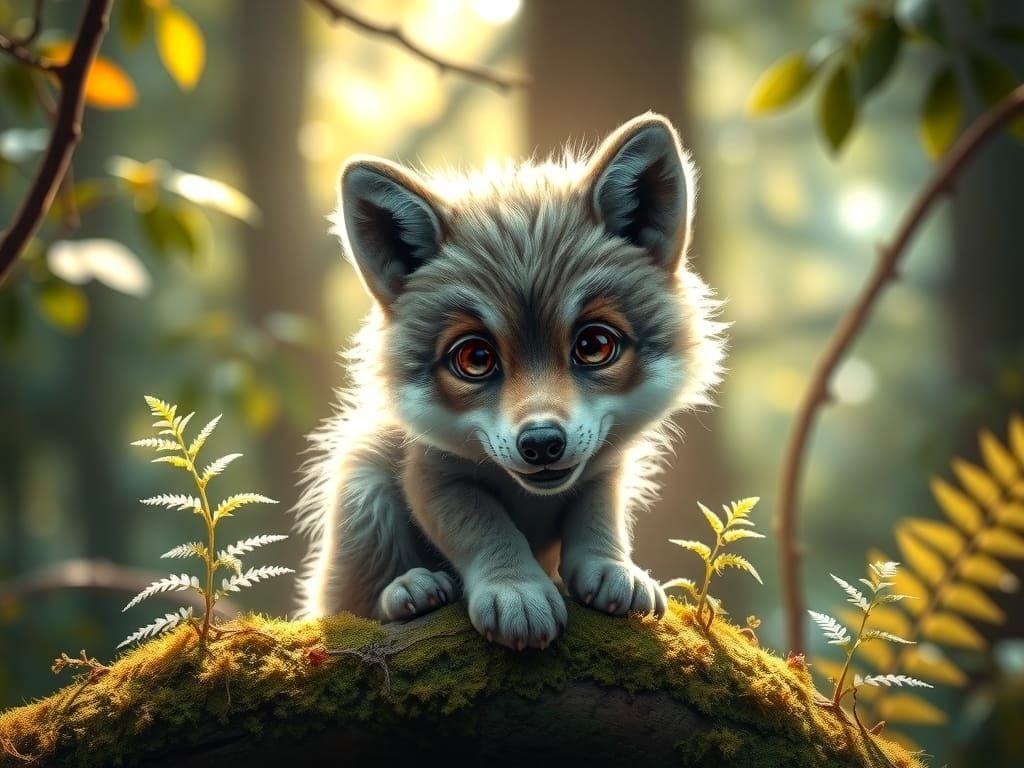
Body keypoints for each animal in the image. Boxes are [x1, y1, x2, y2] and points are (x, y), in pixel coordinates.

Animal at [294, 113, 725, 650]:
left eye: (594, 345)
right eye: (475, 358)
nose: (541, 444)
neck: (529, 496)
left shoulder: (606, 465)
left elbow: (598, 515)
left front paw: (611, 569)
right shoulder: (431, 473)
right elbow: (484, 527)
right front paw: (515, 590)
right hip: (362, 487)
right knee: (347, 602)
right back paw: (409, 591)